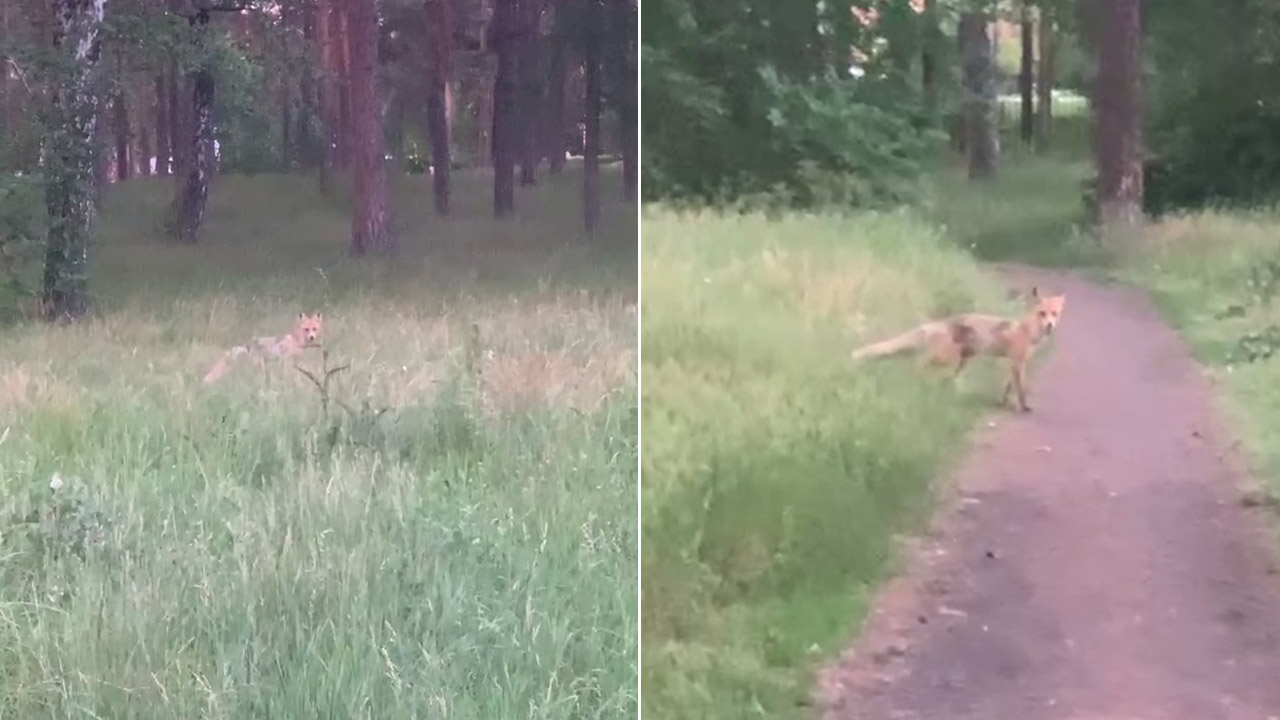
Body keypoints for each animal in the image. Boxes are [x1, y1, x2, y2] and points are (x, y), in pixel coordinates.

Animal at [849, 284, 1070, 409]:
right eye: (1042, 313)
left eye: (1054, 314)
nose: (1050, 326)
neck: (1027, 331)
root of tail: (940, 322)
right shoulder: (1017, 363)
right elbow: (1021, 388)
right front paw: (1024, 407)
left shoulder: (1014, 363)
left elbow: (1007, 388)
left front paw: (1002, 403)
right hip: (948, 359)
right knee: (919, 366)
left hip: (962, 360)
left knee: (940, 375)